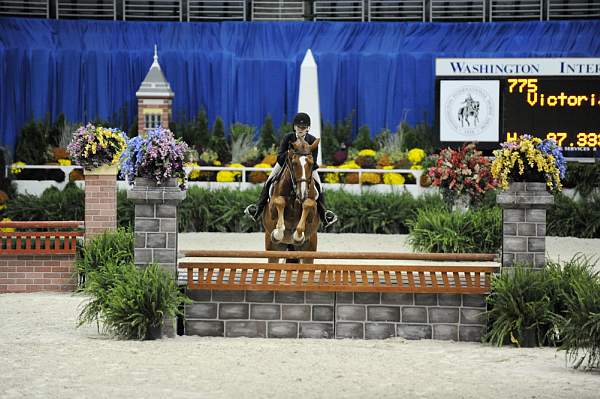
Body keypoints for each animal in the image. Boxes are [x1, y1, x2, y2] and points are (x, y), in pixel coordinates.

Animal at [262, 138, 322, 266]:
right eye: (294, 163)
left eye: (311, 164)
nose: (302, 193)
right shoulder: (272, 207)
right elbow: (280, 202)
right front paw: (278, 233)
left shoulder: (313, 210)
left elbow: (308, 204)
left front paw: (298, 236)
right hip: (273, 249)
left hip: (309, 250)